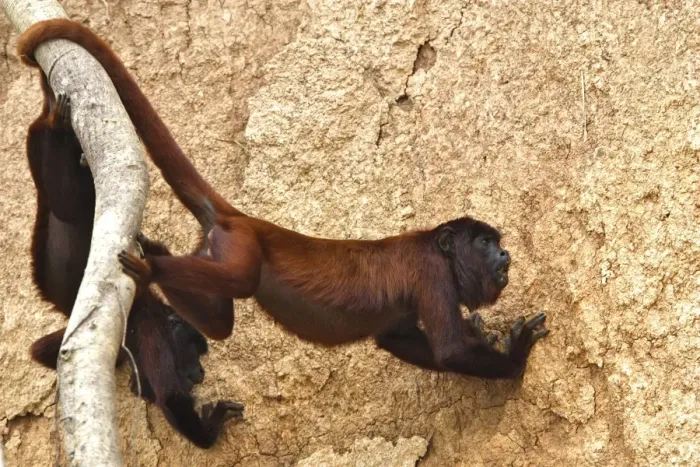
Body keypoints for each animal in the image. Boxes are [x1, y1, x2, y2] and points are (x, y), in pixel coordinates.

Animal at [18, 19, 550, 380]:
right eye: (483, 243)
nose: (504, 254)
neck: (436, 248)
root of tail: (240, 217)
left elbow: (396, 337)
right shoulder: (432, 274)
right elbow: (449, 351)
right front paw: (515, 357)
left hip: (216, 246)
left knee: (218, 323)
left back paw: (157, 256)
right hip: (240, 245)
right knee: (240, 279)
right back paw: (152, 268)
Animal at [24, 70, 243, 448]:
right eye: (194, 353)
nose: (200, 374)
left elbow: (43, 350)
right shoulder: (151, 326)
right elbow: (170, 395)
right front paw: (210, 427)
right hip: (70, 209)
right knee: (66, 196)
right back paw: (55, 125)